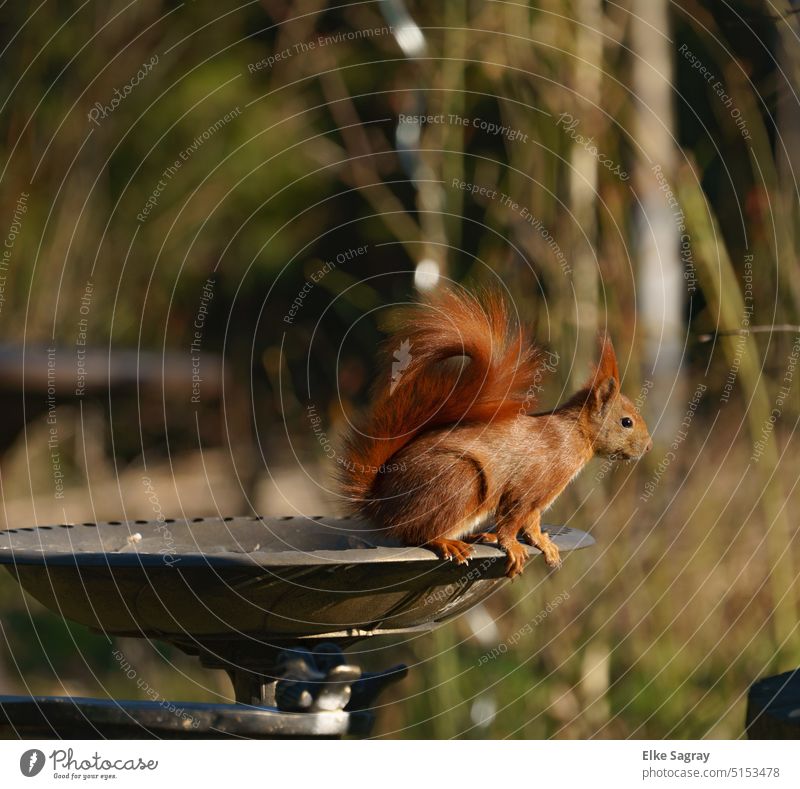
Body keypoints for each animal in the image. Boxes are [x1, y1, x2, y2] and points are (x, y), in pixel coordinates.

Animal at [340, 286, 652, 576]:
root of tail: (380, 502)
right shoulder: (529, 484)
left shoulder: (540, 499)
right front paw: (511, 545)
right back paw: (447, 542)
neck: (572, 435)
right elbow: (514, 518)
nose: (648, 447)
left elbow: (532, 523)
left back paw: (480, 535)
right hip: (458, 479)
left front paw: (544, 544)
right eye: (626, 422)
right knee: (416, 533)